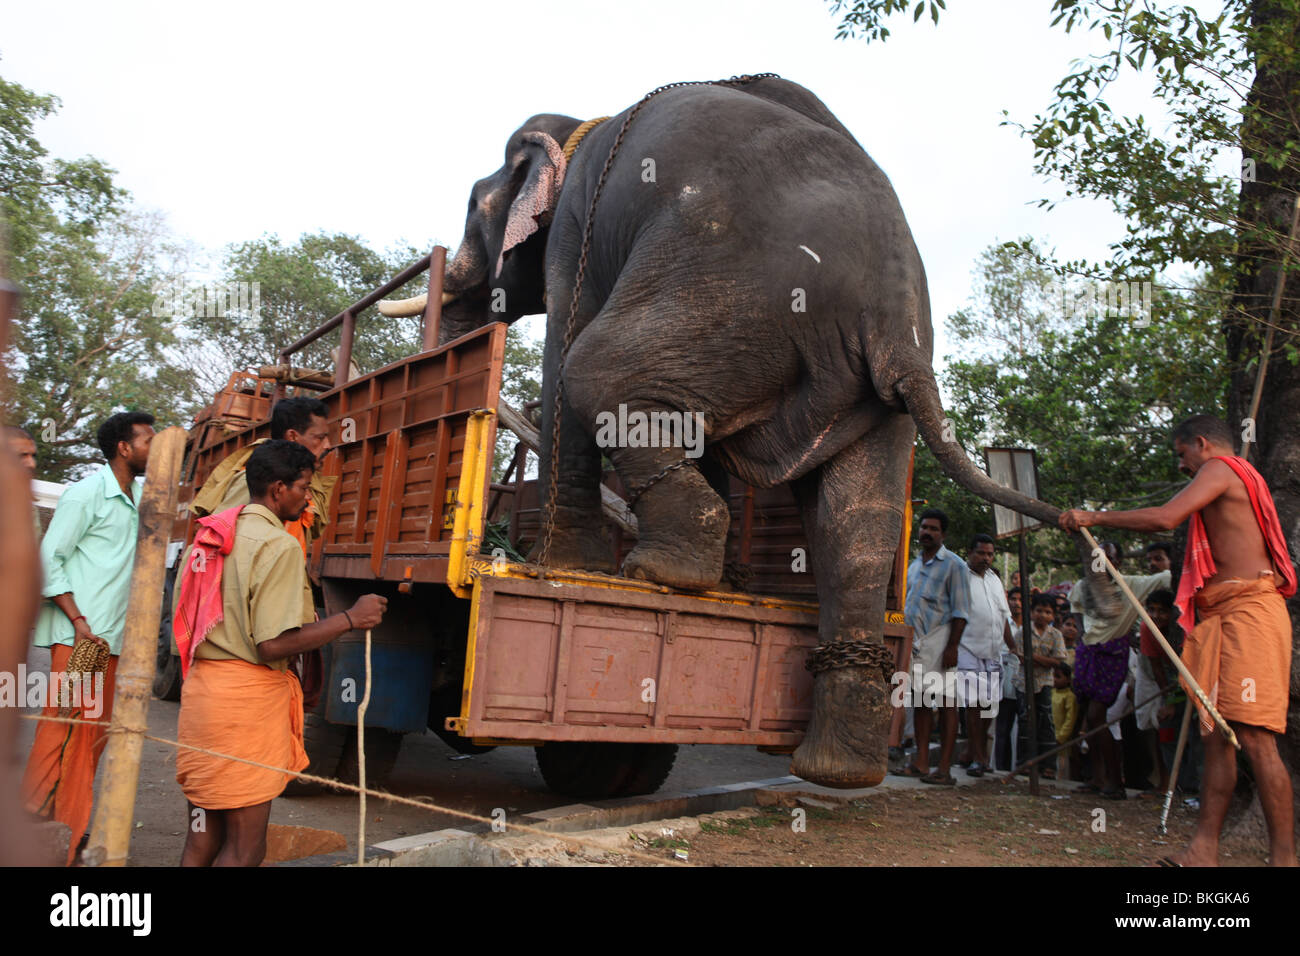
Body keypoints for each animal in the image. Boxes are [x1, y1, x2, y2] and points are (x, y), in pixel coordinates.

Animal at [379, 74, 1118, 790]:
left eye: (472, 206)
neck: (578, 119)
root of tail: (889, 306)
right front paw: (712, 576)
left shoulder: (574, 234)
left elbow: (567, 344)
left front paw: (562, 565)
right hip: (856, 379)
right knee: (857, 523)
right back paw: (837, 766)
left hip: (724, 297)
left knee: (597, 366)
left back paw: (661, 572)